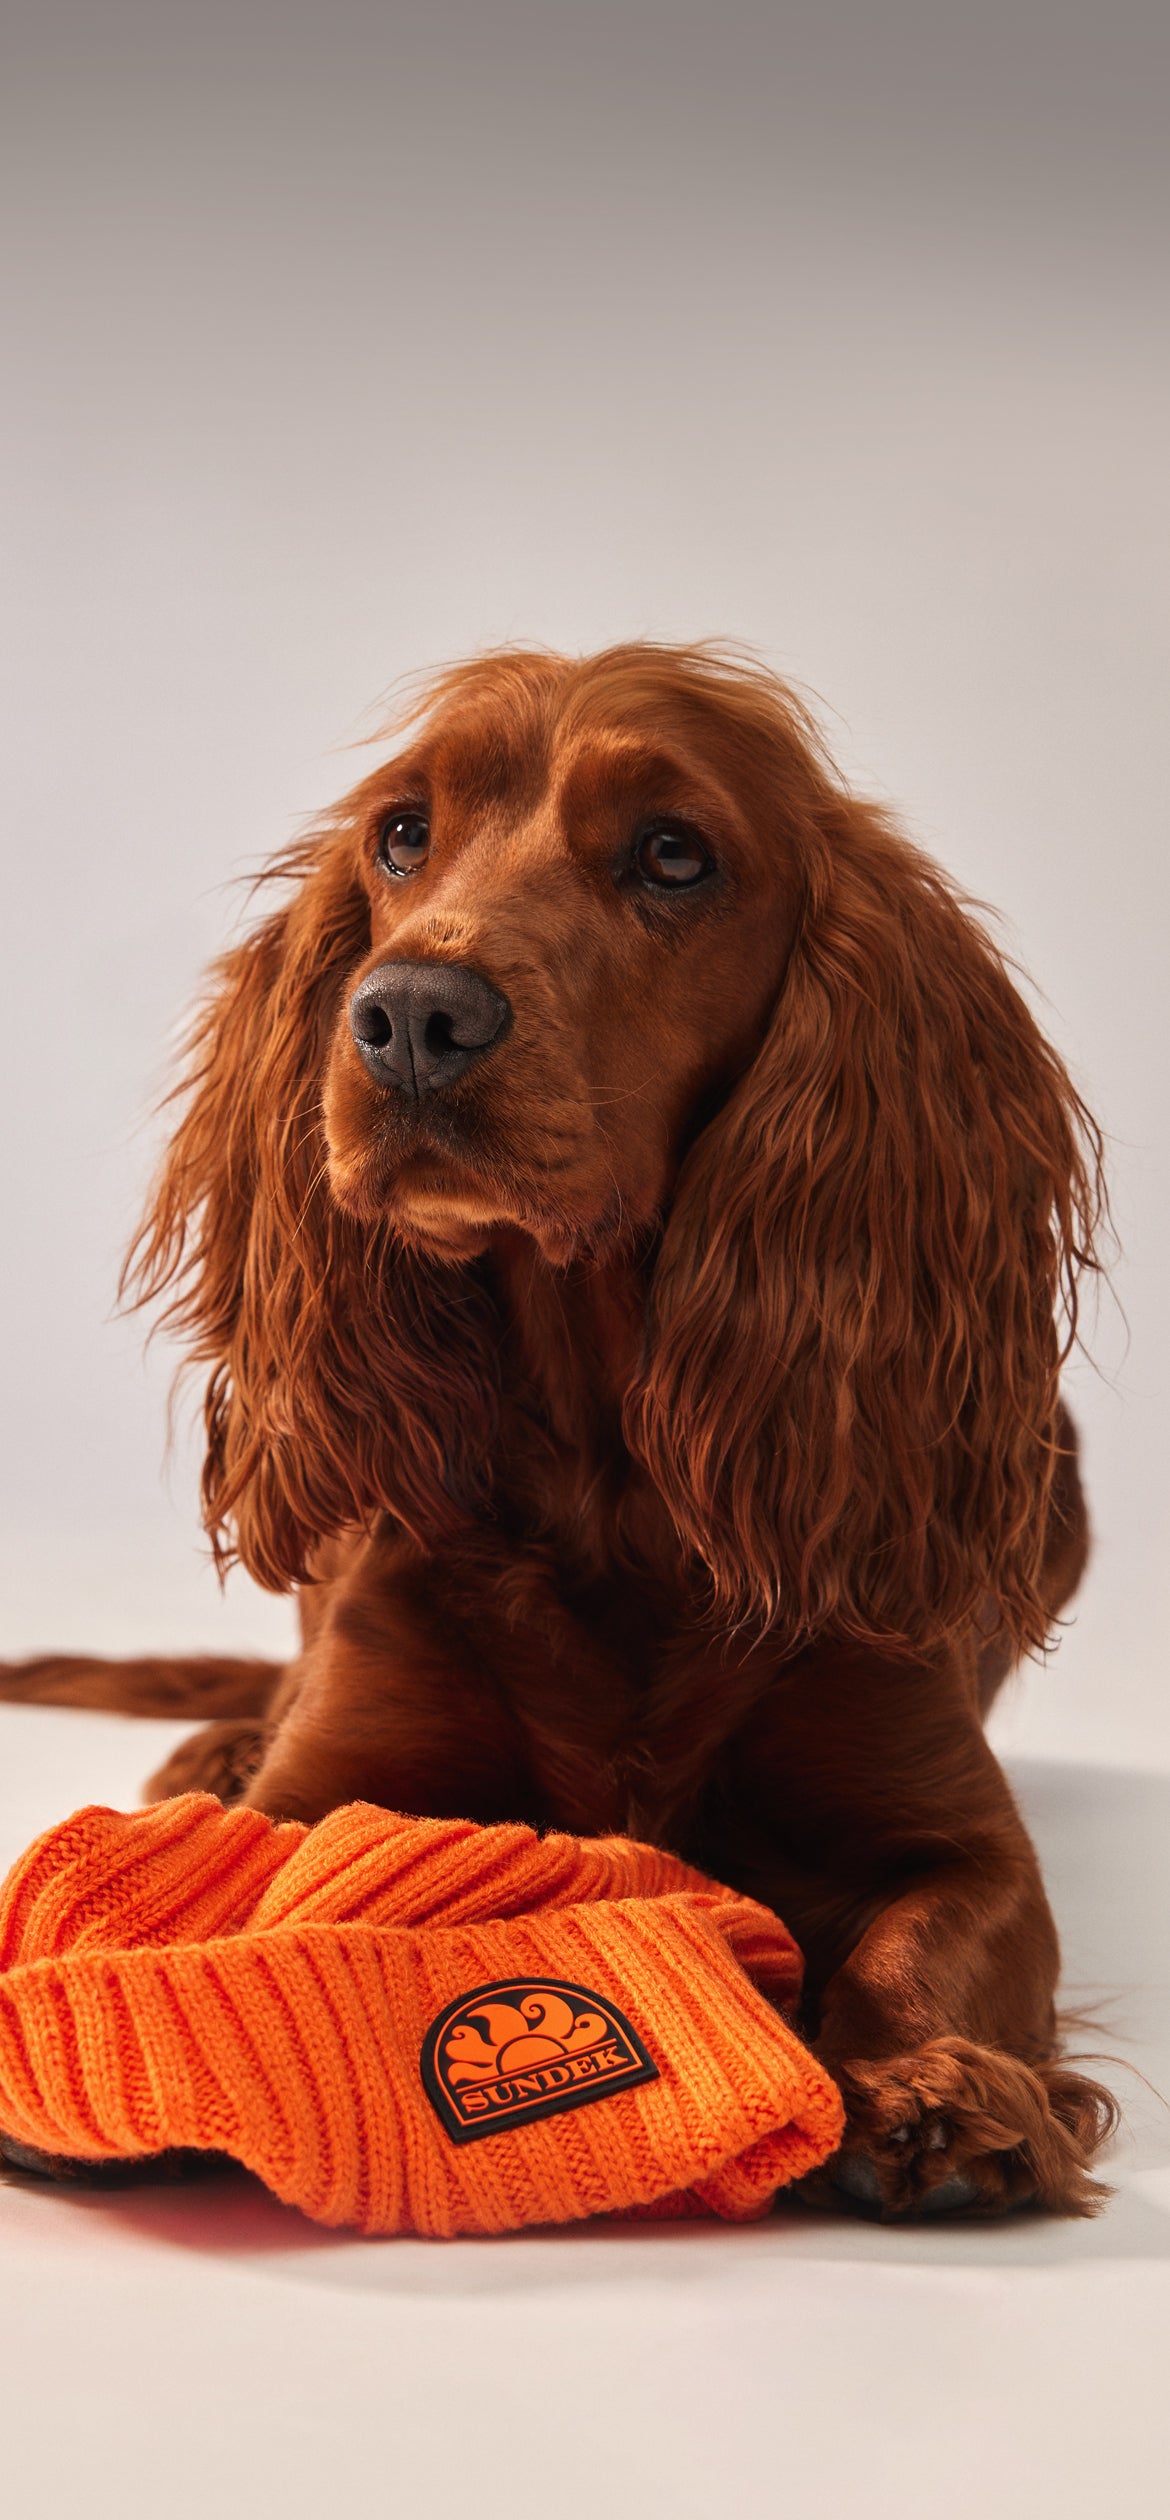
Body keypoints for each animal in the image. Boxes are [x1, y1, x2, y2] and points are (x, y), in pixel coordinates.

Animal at [0, 640, 1114, 2217]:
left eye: (673, 853)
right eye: (404, 833)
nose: (410, 1015)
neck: (615, 1476)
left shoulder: (957, 1824)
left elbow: (929, 1934)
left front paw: (928, 2084)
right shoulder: (340, 1765)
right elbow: (263, 1861)